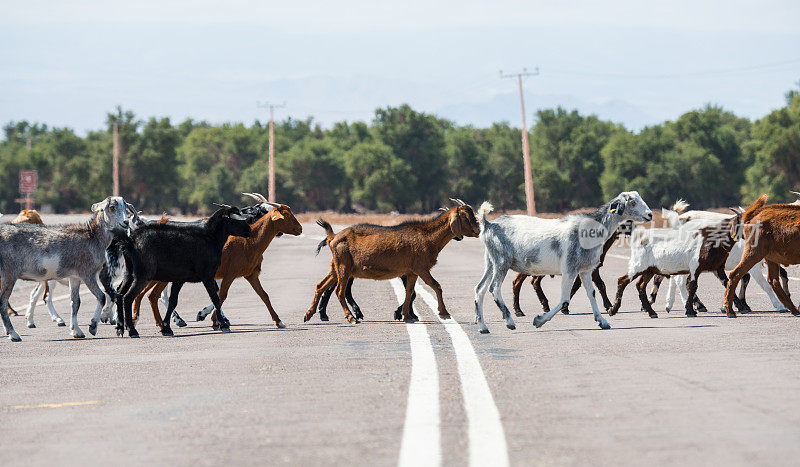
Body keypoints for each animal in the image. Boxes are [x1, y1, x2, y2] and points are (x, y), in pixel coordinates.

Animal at [0, 196, 130, 342]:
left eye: (125, 207)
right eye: (112, 207)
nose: (126, 222)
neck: (92, 237)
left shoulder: (75, 278)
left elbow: (75, 302)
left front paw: (77, 331)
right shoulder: (88, 275)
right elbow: (102, 297)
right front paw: (92, 327)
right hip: (9, 273)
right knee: (3, 301)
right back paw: (13, 334)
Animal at [106, 205, 250, 336]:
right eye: (237, 219)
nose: (248, 230)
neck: (210, 236)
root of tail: (130, 241)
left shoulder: (179, 279)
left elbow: (173, 301)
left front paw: (166, 328)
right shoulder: (207, 275)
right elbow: (215, 298)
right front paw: (224, 324)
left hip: (129, 273)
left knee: (119, 294)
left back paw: (120, 328)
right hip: (143, 275)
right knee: (127, 298)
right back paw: (132, 330)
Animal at [304, 199, 482, 324]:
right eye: (466, 217)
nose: (479, 230)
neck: (428, 237)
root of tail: (333, 237)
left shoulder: (411, 271)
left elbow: (410, 291)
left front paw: (407, 315)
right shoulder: (421, 268)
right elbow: (436, 285)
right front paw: (444, 313)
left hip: (337, 267)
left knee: (321, 285)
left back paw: (309, 314)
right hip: (344, 266)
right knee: (339, 291)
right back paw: (351, 317)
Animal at [472, 190, 652, 332]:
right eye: (632, 201)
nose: (650, 214)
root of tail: (488, 224)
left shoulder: (585, 270)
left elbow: (591, 293)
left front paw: (603, 321)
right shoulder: (569, 269)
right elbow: (565, 298)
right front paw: (539, 320)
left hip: (491, 262)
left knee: (480, 288)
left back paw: (483, 326)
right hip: (502, 261)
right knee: (494, 288)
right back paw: (509, 321)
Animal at [612, 210, 744, 320]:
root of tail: (639, 234)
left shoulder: (718, 268)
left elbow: (728, 283)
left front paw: (737, 308)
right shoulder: (695, 267)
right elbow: (692, 286)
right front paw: (690, 311)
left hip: (649, 270)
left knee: (640, 286)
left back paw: (652, 312)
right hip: (638, 265)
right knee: (622, 281)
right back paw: (613, 309)